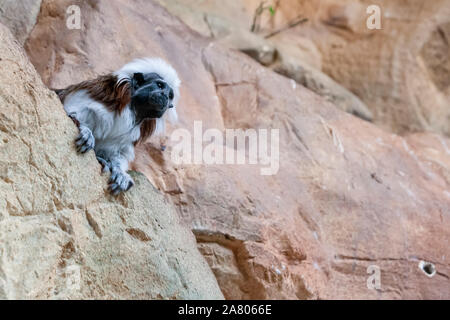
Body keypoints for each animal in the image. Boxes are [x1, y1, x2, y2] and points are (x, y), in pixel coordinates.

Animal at [55, 58, 181, 196]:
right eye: (159, 85)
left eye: (170, 95)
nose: (165, 95)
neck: (133, 109)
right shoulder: (99, 96)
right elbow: (71, 111)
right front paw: (85, 131)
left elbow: (118, 151)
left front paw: (120, 173)